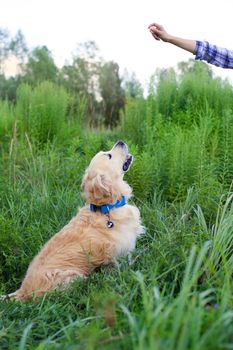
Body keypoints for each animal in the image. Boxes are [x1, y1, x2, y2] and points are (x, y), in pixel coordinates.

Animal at [0, 140, 145, 300]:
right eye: (109, 155)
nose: (120, 141)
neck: (107, 207)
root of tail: (22, 291)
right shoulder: (118, 255)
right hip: (74, 277)